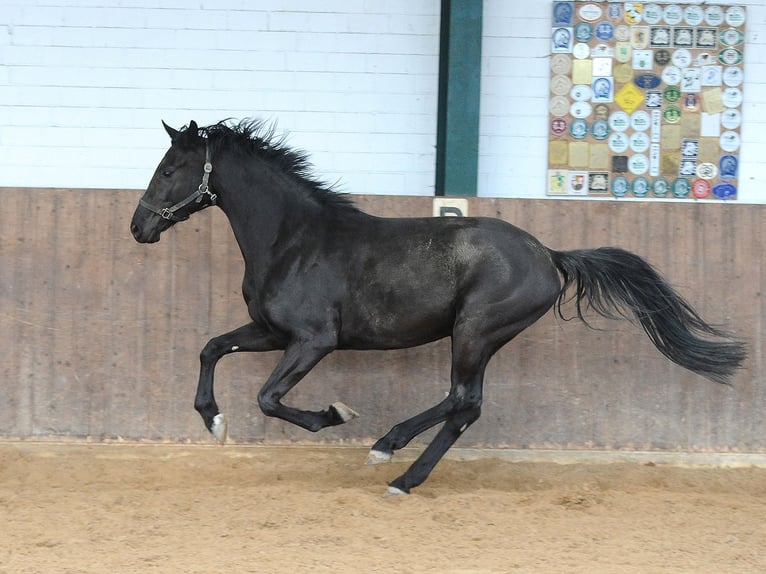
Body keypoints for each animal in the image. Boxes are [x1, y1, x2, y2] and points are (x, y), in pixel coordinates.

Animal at [130, 119, 746, 494]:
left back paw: (393, 462)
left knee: (463, 402)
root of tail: (549, 255)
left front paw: (335, 415)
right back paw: (396, 462)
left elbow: (269, 397)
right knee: (460, 404)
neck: (293, 239)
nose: (138, 228)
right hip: (475, 336)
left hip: (475, 331)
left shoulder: (312, 341)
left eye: (168, 170)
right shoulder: (270, 331)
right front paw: (213, 421)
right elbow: (211, 348)